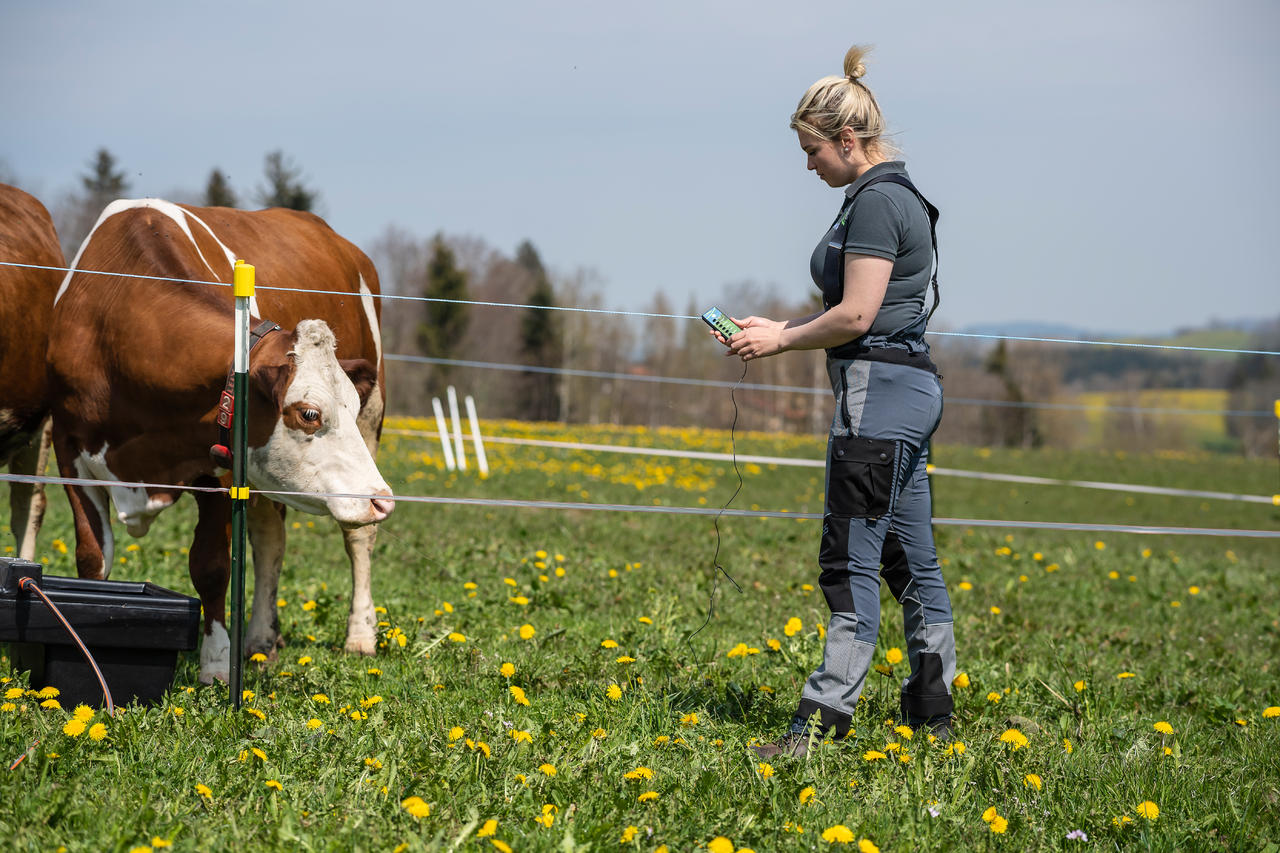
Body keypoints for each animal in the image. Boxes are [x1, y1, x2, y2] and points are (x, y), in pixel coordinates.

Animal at [48, 195, 394, 681]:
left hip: (373, 421)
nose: (382, 499)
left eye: (349, 402)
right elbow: (92, 559)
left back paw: (359, 636)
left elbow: (211, 566)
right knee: (270, 541)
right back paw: (261, 640)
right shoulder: (68, 452)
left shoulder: (218, 471)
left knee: (358, 539)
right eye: (309, 413)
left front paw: (215, 663)